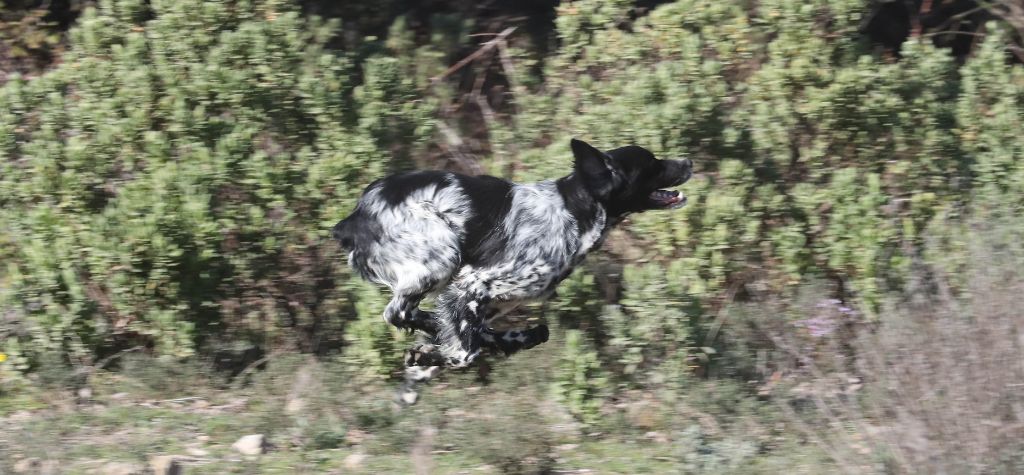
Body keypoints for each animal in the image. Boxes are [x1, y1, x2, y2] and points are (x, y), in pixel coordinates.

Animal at [331, 138, 692, 389]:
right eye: (653, 164)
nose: (688, 161)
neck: (573, 211)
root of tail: (353, 218)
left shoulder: (489, 301)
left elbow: (480, 335)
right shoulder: (473, 284)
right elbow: (465, 352)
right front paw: (430, 353)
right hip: (442, 256)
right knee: (399, 313)